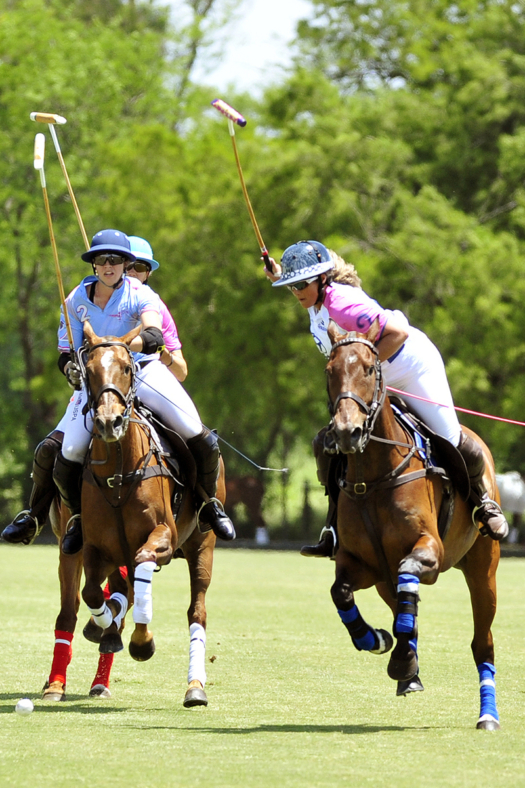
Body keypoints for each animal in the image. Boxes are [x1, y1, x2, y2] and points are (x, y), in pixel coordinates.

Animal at [43, 322, 219, 708]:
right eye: (89, 371)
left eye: (126, 368)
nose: (110, 422)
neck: (119, 473)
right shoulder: (94, 548)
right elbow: (93, 595)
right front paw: (105, 626)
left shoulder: (162, 537)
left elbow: (140, 569)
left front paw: (141, 641)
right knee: (78, 605)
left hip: (202, 545)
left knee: (196, 612)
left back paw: (195, 687)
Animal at [324, 324, 500, 728]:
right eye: (329, 370)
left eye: (369, 369)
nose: (346, 432)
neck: (373, 477)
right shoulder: (364, 564)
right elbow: (340, 591)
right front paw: (375, 640)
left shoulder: (428, 551)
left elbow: (410, 573)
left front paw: (401, 659)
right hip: (383, 580)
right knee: (402, 606)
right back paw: (409, 671)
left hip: (484, 571)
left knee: (482, 643)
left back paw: (487, 715)